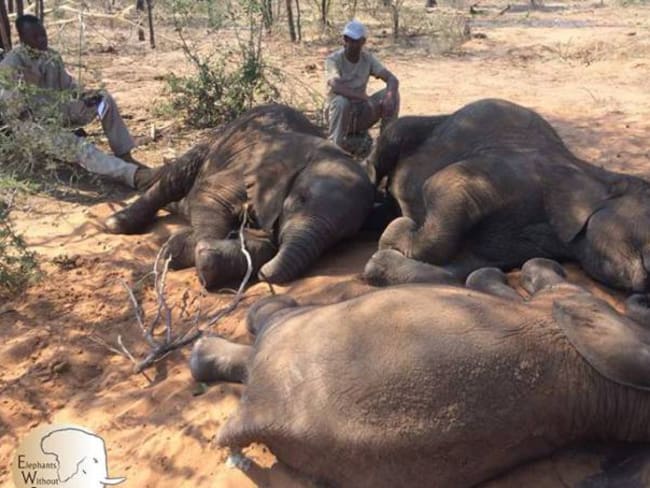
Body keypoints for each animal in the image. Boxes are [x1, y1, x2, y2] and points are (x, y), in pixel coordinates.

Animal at [104, 104, 374, 288]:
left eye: (342, 238)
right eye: (301, 200)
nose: (264, 274)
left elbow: (266, 243)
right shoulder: (249, 169)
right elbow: (210, 195)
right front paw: (186, 252)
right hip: (214, 143)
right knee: (176, 177)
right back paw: (116, 223)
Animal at [362, 98, 650, 292]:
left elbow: (461, 268)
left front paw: (381, 260)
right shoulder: (520, 172)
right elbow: (443, 184)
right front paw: (397, 231)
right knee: (390, 142)